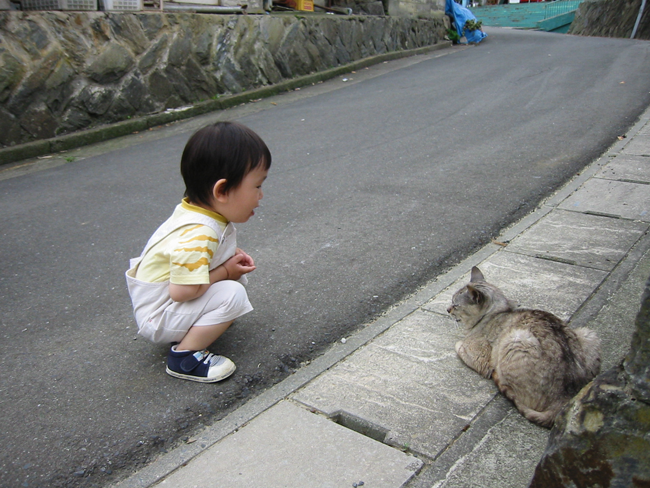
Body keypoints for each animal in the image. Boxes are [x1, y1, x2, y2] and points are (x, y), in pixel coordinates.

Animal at [442, 266, 600, 428]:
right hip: (587, 334)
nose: (447, 309)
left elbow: (458, 345)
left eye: (455, 305)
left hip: (515, 340)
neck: (497, 312)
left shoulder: (478, 356)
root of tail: (566, 399)